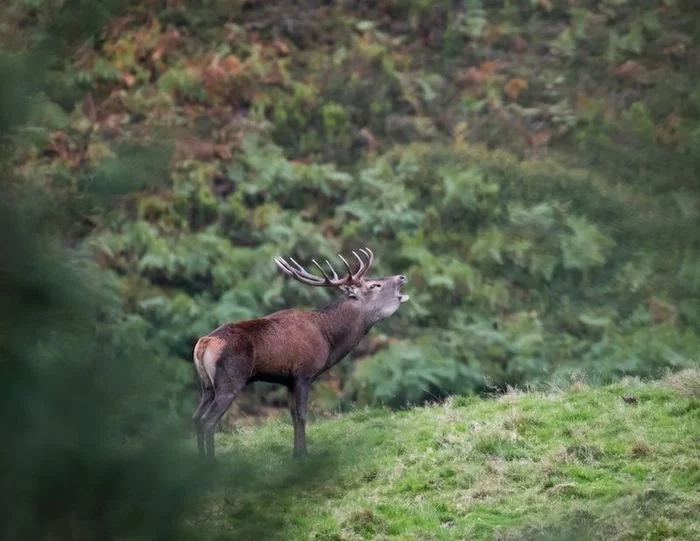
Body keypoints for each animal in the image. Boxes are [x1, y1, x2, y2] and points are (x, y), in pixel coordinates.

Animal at [191, 248, 409, 462]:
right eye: (375, 285)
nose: (402, 277)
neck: (328, 338)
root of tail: (204, 343)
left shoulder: (288, 380)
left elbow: (294, 417)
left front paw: (296, 455)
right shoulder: (304, 372)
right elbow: (303, 415)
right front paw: (304, 456)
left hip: (207, 385)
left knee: (196, 417)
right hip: (230, 380)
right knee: (208, 420)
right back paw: (211, 463)